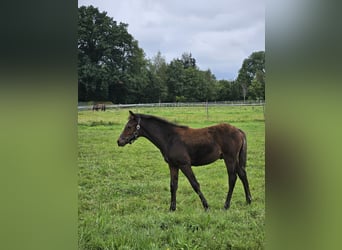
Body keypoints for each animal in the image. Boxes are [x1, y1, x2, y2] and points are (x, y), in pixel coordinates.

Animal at [117, 110, 251, 210]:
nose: (119, 141)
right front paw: (172, 208)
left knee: (232, 178)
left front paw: (206, 206)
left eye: (129, 126)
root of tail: (239, 131)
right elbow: (173, 185)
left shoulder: (184, 164)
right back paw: (248, 200)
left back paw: (226, 205)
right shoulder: (173, 165)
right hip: (235, 159)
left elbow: (195, 184)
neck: (170, 138)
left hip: (230, 158)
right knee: (242, 174)